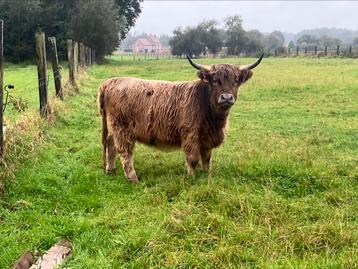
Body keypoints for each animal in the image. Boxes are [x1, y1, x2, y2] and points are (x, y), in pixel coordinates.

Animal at [98, 54, 262, 181]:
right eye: (215, 81)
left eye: (236, 81)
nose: (227, 97)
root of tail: (109, 82)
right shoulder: (190, 135)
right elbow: (193, 159)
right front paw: (192, 178)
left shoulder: (207, 138)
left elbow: (207, 159)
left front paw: (206, 175)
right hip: (122, 128)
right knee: (125, 151)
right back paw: (133, 178)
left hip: (114, 127)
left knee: (110, 144)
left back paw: (110, 170)